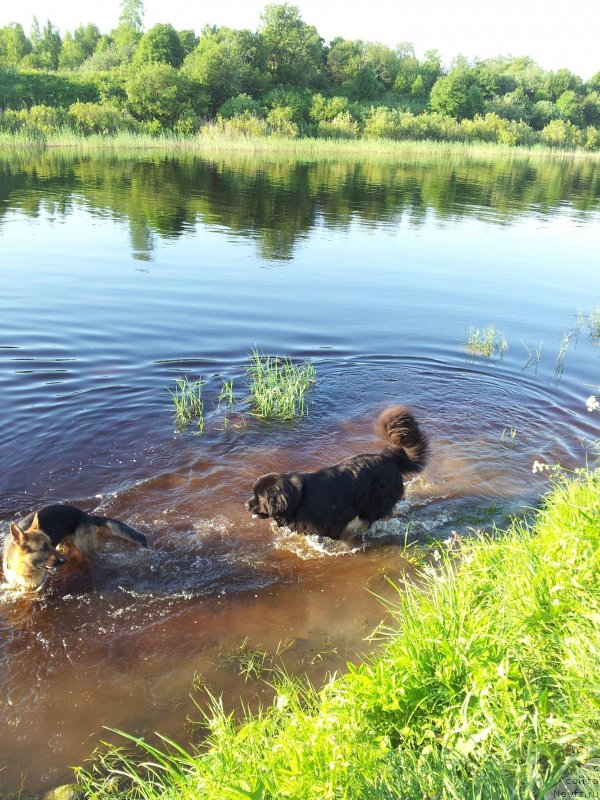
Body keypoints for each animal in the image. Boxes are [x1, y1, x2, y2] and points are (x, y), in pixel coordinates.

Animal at [1, 504, 147, 592]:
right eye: (43, 548)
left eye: (50, 543)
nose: (64, 560)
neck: (25, 569)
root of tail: (86, 515)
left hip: (82, 545)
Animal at [246, 406, 428, 536]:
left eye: (259, 498)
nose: (246, 505)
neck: (299, 499)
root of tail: (389, 458)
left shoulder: (331, 522)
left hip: (374, 502)